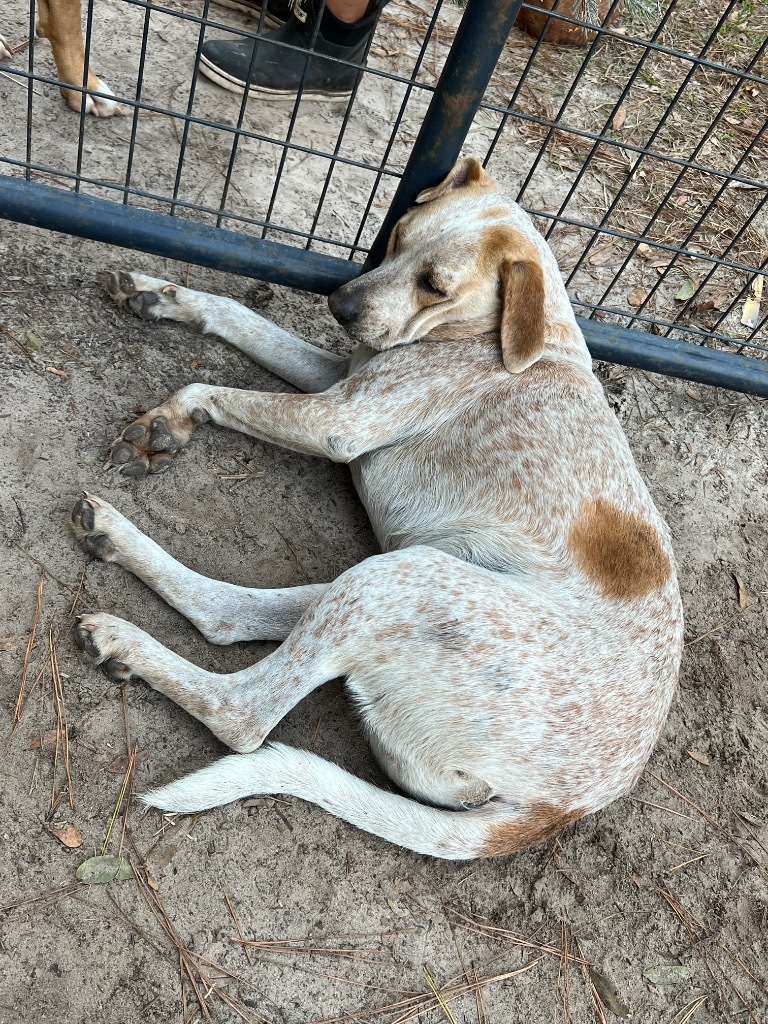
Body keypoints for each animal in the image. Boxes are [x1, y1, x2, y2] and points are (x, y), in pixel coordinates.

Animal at [73, 159, 684, 860]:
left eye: (434, 285)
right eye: (396, 239)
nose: (339, 305)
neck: (512, 332)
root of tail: (560, 808)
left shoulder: (336, 419)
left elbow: (209, 389)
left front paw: (171, 420)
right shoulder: (338, 374)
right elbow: (237, 314)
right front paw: (158, 295)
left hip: (402, 581)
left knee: (244, 713)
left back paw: (127, 641)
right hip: (395, 578)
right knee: (228, 614)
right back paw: (114, 538)